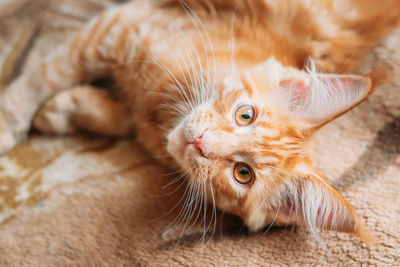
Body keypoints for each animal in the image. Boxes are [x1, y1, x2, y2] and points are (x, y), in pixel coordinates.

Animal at [0, 0, 398, 242]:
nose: (202, 142)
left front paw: (64, 109)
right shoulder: (121, 27)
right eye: (245, 114)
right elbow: (42, 75)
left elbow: (115, 117)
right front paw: (9, 122)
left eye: (242, 174)